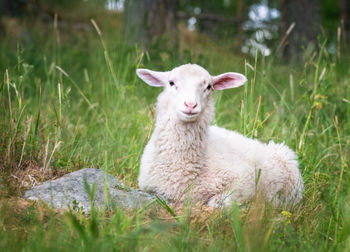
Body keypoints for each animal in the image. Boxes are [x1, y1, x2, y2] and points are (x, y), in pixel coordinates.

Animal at [137, 63, 304, 207]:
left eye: (209, 87)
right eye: (171, 83)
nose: (190, 105)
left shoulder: (244, 184)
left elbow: (220, 202)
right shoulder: (148, 187)